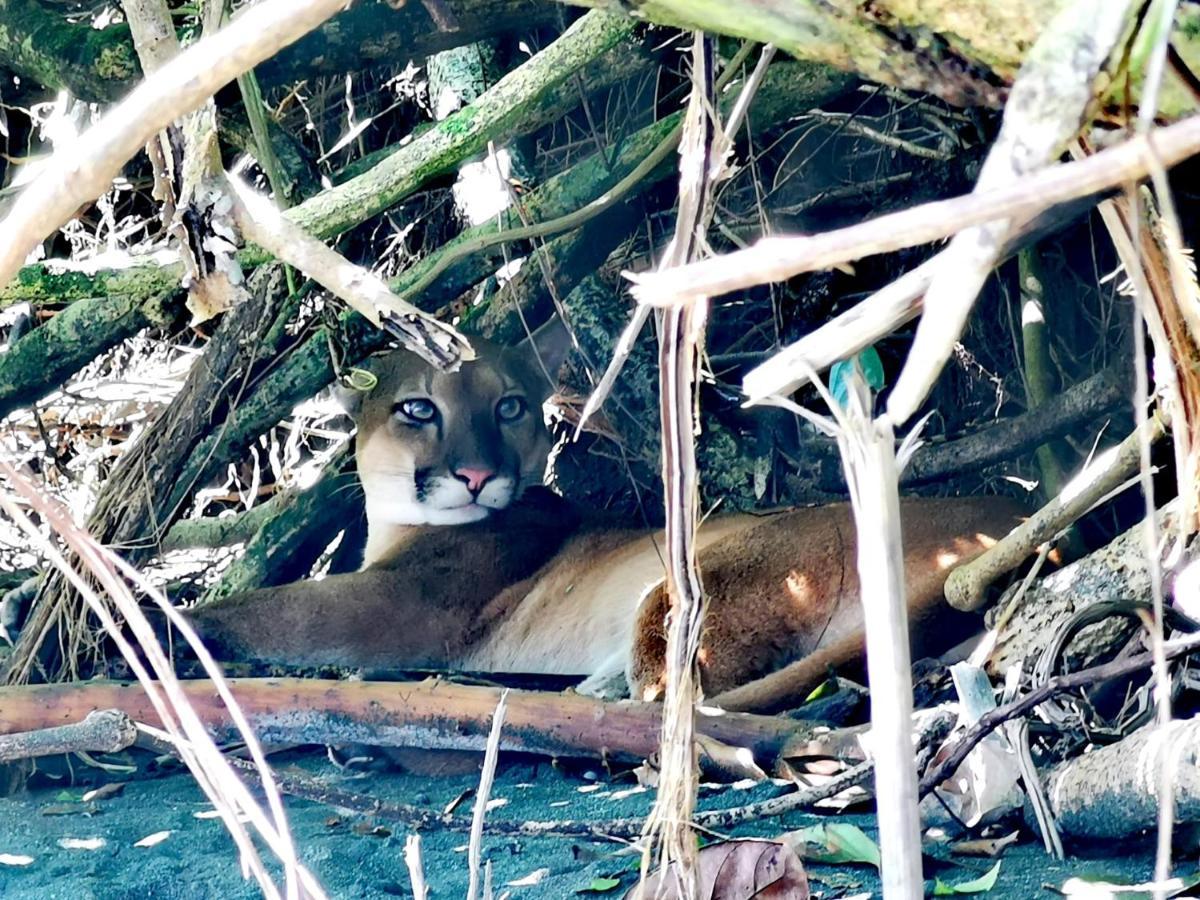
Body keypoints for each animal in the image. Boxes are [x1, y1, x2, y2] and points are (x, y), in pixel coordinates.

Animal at [187, 336, 1022, 710]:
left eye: (509, 406)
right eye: (418, 408)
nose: (475, 474)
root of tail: (1018, 518)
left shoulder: (402, 604)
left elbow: (271, 608)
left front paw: (166, 622)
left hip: (703, 578)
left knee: (676, 695)